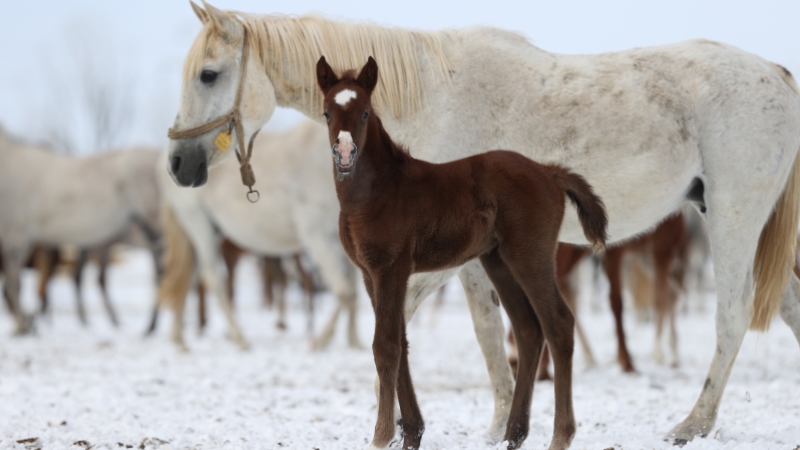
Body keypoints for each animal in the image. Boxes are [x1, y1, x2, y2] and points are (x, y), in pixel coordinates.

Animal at [0, 126, 162, 334]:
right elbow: (12, 287)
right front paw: (24, 324)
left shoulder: (15, 236)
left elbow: (13, 286)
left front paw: (23, 325)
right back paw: (149, 326)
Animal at [155, 119, 360, 352]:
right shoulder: (316, 238)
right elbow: (345, 292)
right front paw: (320, 341)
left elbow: (354, 290)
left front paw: (355, 343)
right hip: (198, 224)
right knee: (212, 278)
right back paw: (239, 339)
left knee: (189, 275)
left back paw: (179, 340)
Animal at [316, 57, 608, 450]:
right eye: (327, 113)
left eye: (364, 113)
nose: (345, 154)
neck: (379, 191)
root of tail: (548, 171)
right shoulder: (369, 273)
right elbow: (401, 341)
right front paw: (412, 433)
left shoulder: (391, 268)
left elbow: (387, 345)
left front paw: (381, 436)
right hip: (498, 261)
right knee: (529, 331)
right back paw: (513, 436)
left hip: (529, 255)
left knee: (558, 324)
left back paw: (560, 436)